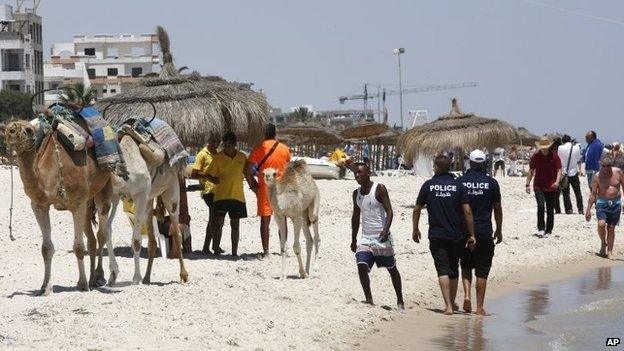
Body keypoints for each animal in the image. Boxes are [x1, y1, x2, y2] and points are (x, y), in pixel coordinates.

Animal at [3, 119, 113, 296]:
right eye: (8, 128)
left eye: (29, 129)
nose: (11, 130)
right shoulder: (39, 206)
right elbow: (46, 248)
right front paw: (45, 287)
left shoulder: (78, 203)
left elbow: (78, 247)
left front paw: (82, 285)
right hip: (88, 201)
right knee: (92, 238)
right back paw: (92, 279)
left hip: (105, 186)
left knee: (102, 233)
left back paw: (99, 277)